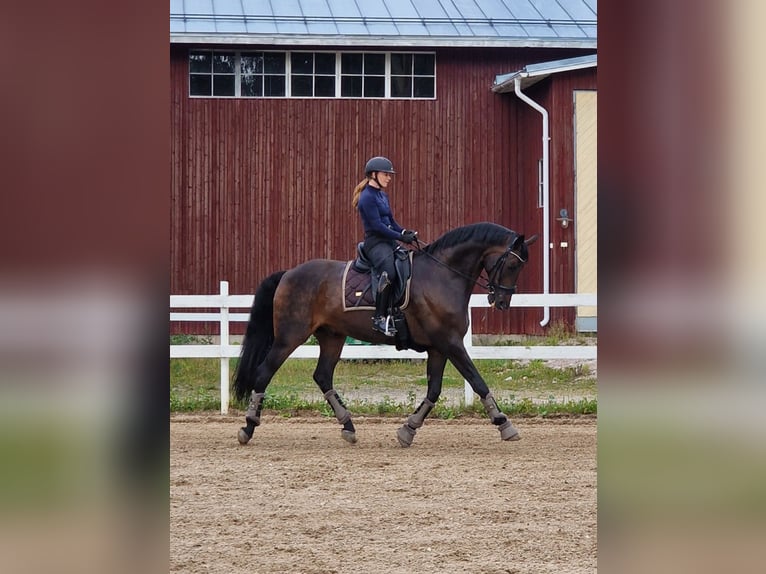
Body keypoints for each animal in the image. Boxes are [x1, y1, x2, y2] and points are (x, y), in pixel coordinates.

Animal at [234, 223, 540, 448]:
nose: (502, 302)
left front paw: (408, 430)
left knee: (322, 376)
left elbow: (434, 390)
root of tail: (289, 273)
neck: (442, 275)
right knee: (264, 372)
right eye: (513, 265)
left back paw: (348, 426)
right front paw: (504, 423)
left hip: (332, 337)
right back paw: (248, 427)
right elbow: (478, 382)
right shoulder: (451, 344)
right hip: (289, 337)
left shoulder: (439, 348)